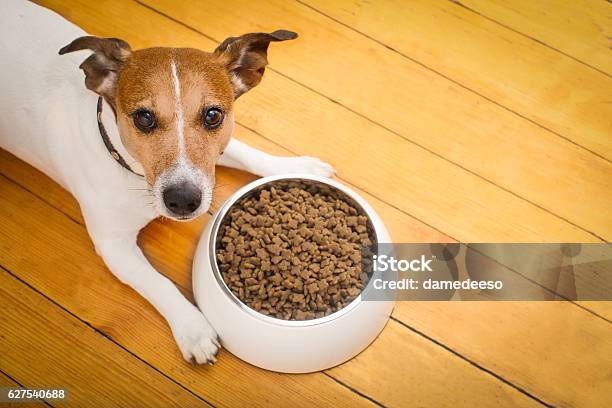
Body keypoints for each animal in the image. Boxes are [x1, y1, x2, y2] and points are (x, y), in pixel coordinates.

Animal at [0, 0, 334, 364]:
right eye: (144, 118)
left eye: (213, 115)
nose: (184, 200)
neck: (130, 168)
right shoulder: (113, 246)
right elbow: (159, 283)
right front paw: (193, 329)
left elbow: (244, 152)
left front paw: (297, 166)